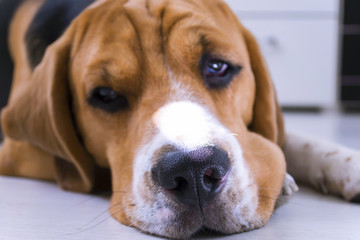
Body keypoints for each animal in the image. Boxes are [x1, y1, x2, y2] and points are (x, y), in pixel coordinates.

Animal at [0, 0, 358, 238]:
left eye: (218, 66)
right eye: (105, 95)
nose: (194, 171)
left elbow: (293, 140)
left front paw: (346, 165)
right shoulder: (16, 148)